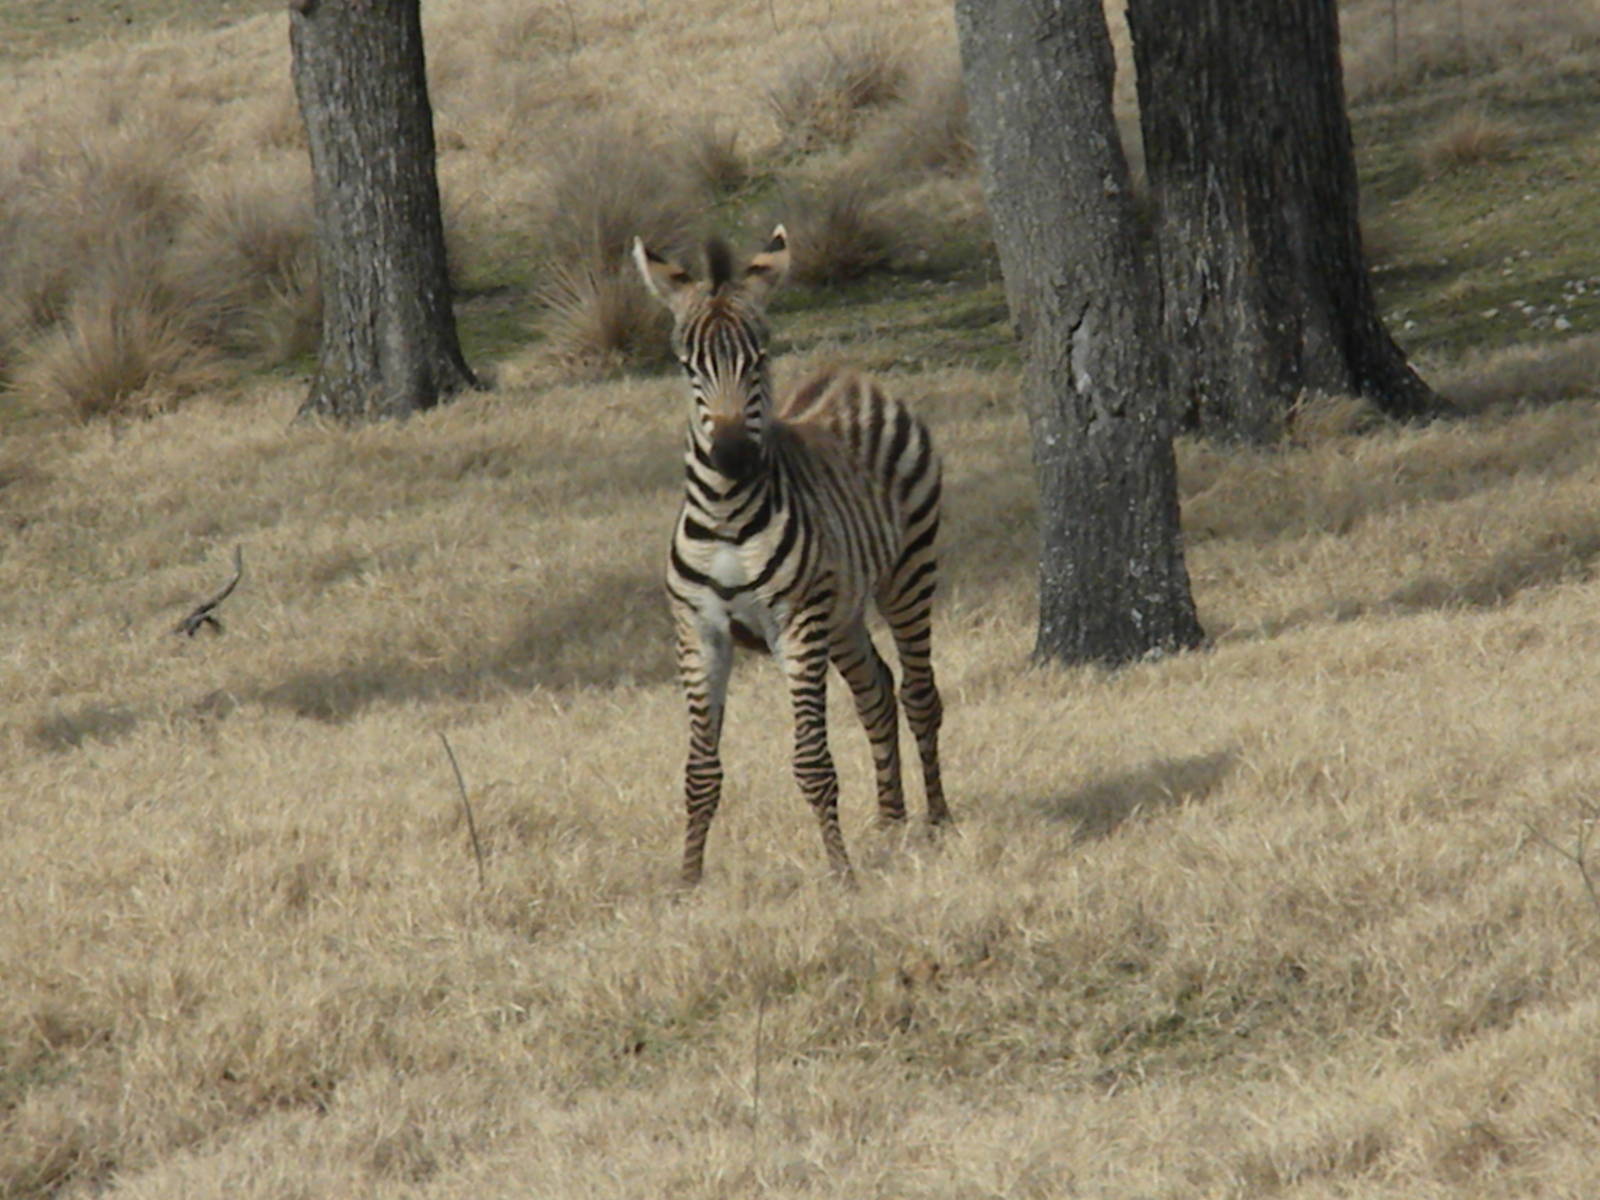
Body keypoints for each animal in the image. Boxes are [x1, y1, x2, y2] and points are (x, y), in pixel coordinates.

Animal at [632, 224, 948, 884]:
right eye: (686, 366)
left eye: (759, 359)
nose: (731, 457)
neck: (727, 515)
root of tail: (850, 372)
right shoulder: (699, 630)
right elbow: (700, 771)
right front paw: (688, 879)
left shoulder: (797, 623)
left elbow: (812, 760)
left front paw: (841, 873)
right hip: (844, 609)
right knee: (876, 692)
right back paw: (890, 823)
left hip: (908, 572)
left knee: (918, 692)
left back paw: (936, 820)